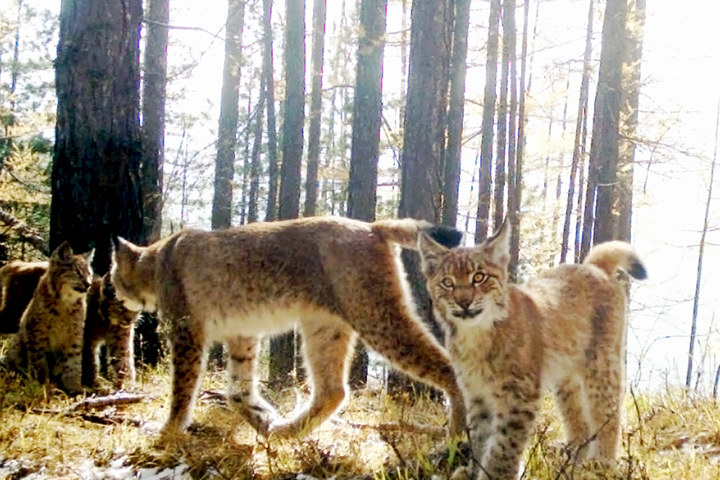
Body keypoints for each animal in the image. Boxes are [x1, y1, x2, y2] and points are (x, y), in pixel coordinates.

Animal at [416, 224, 648, 480]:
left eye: (479, 277)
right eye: (447, 283)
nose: (464, 302)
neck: (476, 333)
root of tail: (591, 267)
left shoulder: (519, 396)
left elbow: (503, 447)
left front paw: (496, 475)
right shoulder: (477, 394)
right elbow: (481, 440)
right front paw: (475, 471)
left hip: (601, 364)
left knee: (609, 413)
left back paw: (603, 465)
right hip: (565, 378)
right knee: (579, 421)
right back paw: (571, 463)